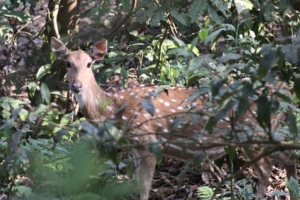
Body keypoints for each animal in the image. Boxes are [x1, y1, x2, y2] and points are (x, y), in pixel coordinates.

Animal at [50, 37, 296, 198]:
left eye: (89, 64)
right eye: (67, 63)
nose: (76, 85)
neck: (113, 110)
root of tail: (286, 92)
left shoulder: (148, 141)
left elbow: (144, 190)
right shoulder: (135, 150)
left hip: (251, 132)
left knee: (266, 168)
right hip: (268, 132)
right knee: (290, 155)